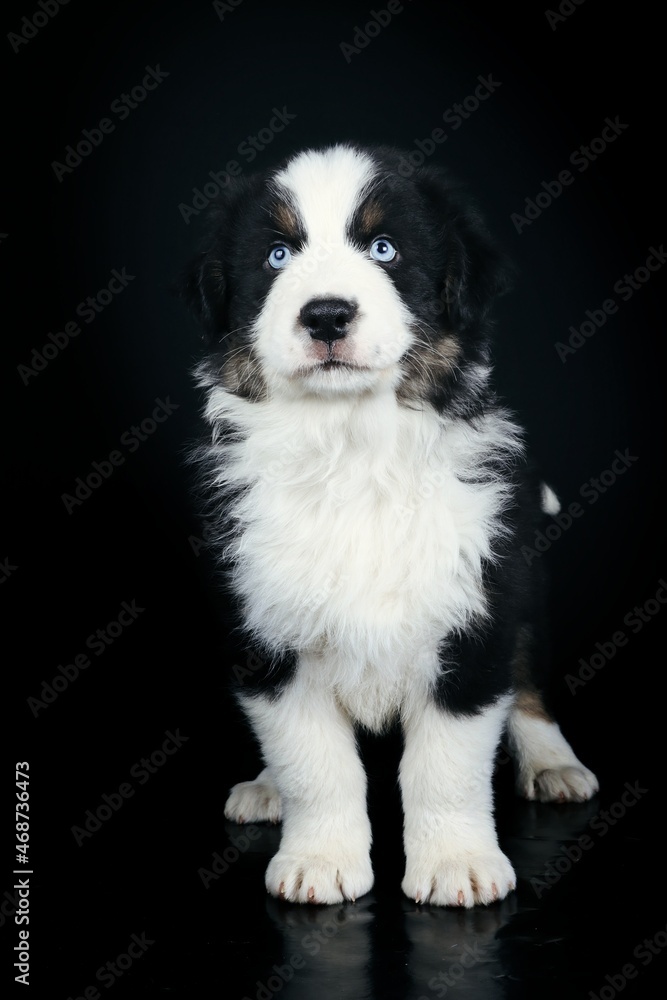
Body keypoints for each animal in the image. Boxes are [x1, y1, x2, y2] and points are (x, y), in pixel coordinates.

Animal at [184, 143, 600, 908]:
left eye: (384, 249)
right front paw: (318, 860)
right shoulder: (267, 633)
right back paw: (266, 787)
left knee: (527, 679)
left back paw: (553, 763)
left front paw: (457, 864)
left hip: (522, 587)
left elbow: (447, 765)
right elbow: (314, 762)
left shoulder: (473, 616)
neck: (352, 449)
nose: (325, 316)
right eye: (277, 255)